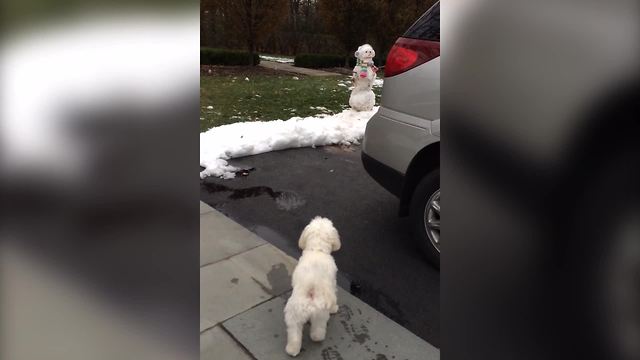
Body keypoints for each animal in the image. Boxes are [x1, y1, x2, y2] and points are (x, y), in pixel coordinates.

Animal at [284, 217, 340, 358]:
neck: (317, 249)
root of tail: (311, 290)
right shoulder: (333, 283)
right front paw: (334, 308)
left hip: (294, 315)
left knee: (294, 333)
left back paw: (292, 350)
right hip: (320, 314)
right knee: (318, 330)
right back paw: (318, 338)